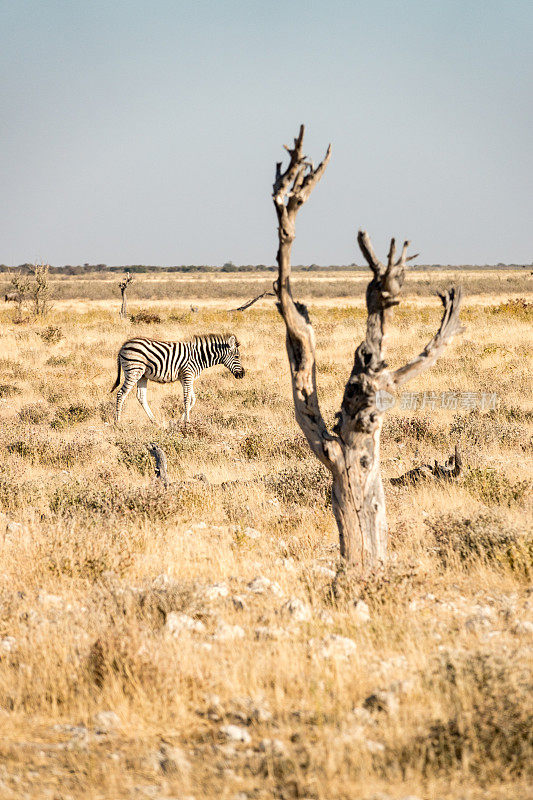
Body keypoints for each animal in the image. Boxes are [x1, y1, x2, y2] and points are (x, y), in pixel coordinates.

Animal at [113, 330, 246, 422]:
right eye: (237, 357)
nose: (242, 374)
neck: (200, 357)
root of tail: (123, 345)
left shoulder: (185, 378)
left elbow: (192, 399)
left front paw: (180, 420)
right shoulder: (188, 375)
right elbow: (187, 399)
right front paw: (187, 422)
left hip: (142, 375)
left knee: (141, 397)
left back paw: (154, 421)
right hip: (133, 371)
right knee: (121, 394)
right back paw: (118, 422)